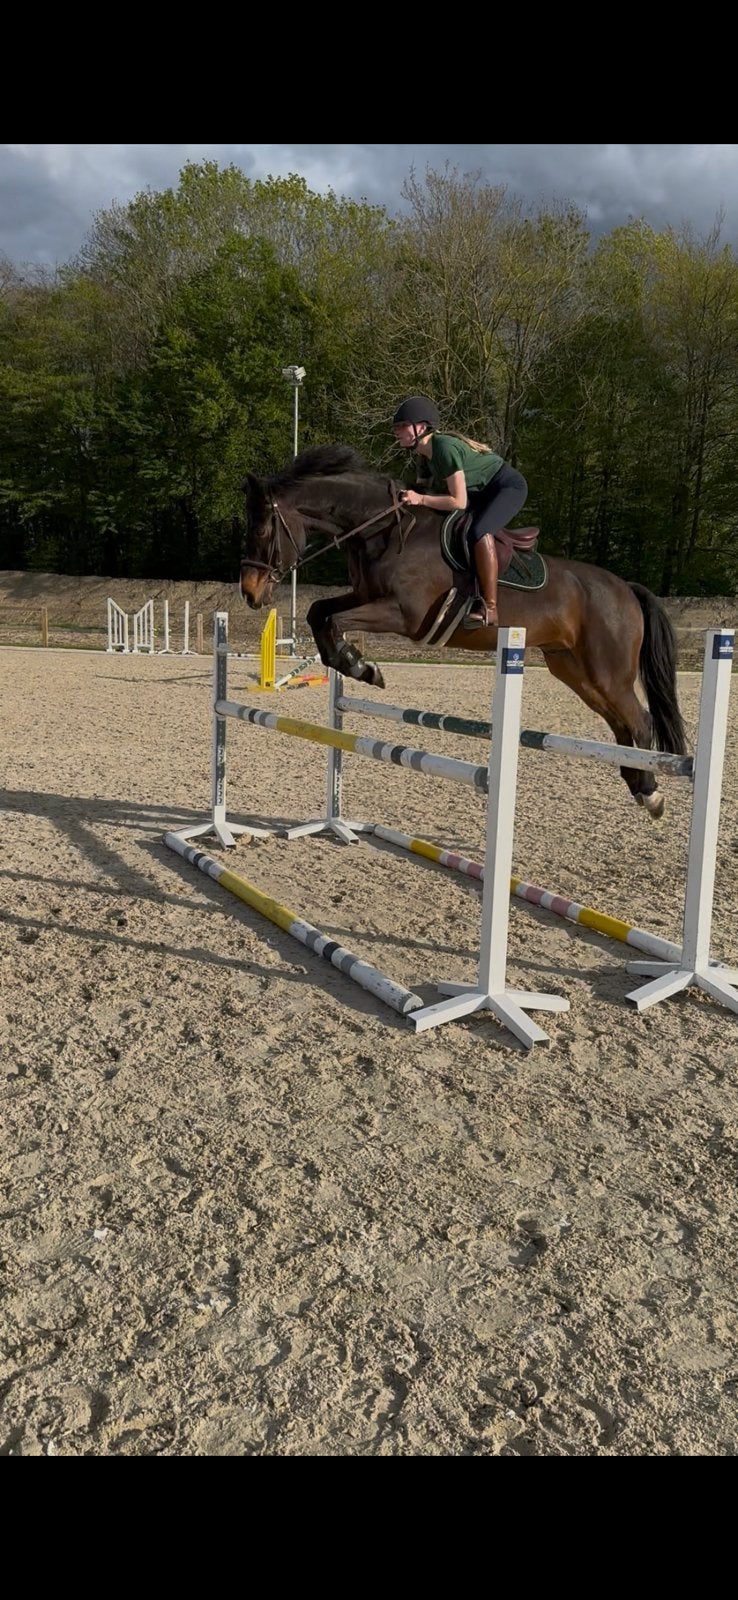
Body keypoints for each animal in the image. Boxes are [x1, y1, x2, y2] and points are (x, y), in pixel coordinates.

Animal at [240, 444, 687, 819]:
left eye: (261, 532)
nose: (250, 593)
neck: (381, 530)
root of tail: (625, 588)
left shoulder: (403, 614)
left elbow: (333, 623)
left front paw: (360, 665)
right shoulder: (364, 597)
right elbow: (319, 612)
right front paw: (359, 665)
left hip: (607, 671)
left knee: (640, 721)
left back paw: (651, 792)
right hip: (574, 670)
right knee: (621, 724)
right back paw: (636, 782)